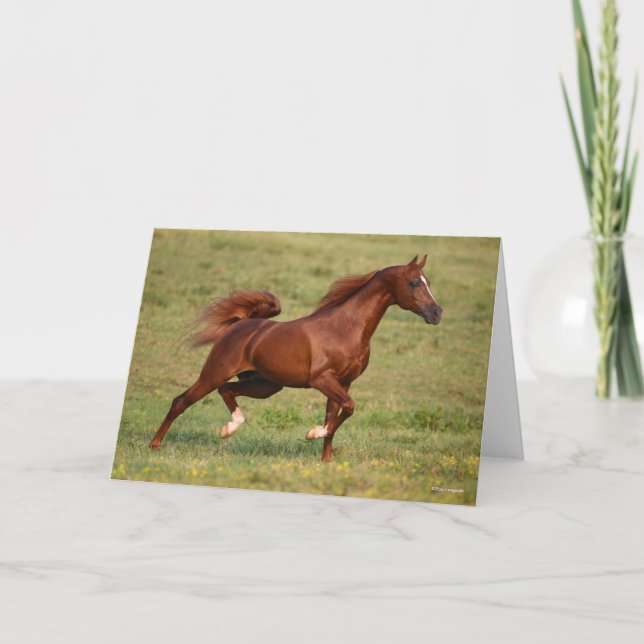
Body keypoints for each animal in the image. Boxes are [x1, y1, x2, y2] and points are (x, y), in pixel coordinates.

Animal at [149, 254, 442, 461]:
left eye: (429, 283)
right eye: (414, 282)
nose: (437, 313)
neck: (345, 329)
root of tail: (240, 324)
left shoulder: (343, 383)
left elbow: (335, 416)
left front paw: (325, 462)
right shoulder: (321, 379)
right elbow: (347, 409)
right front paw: (313, 432)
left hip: (265, 385)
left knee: (227, 390)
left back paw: (229, 428)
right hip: (214, 373)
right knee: (181, 401)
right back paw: (155, 446)